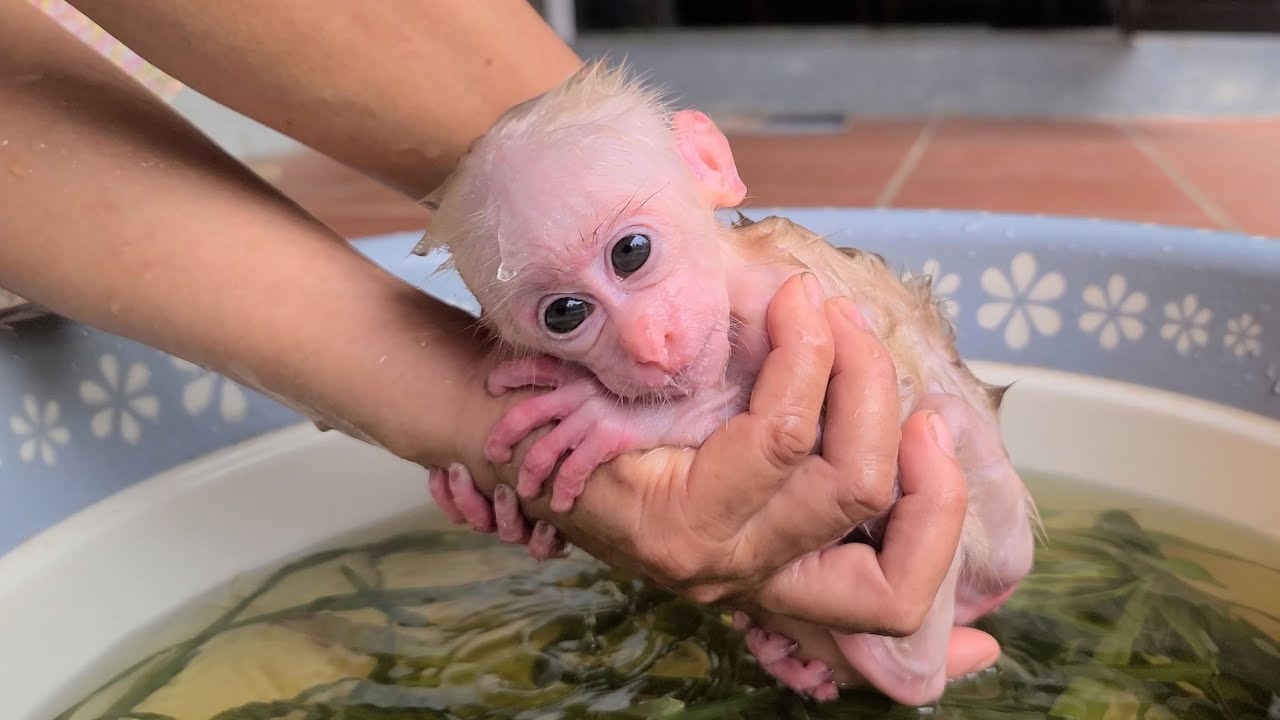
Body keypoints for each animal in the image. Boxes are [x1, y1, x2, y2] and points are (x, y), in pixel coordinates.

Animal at [417, 60, 1039, 706]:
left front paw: (613, 417)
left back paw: (906, 665)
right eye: (565, 313)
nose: (649, 343)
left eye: (630, 252)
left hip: (993, 530)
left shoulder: (786, 298)